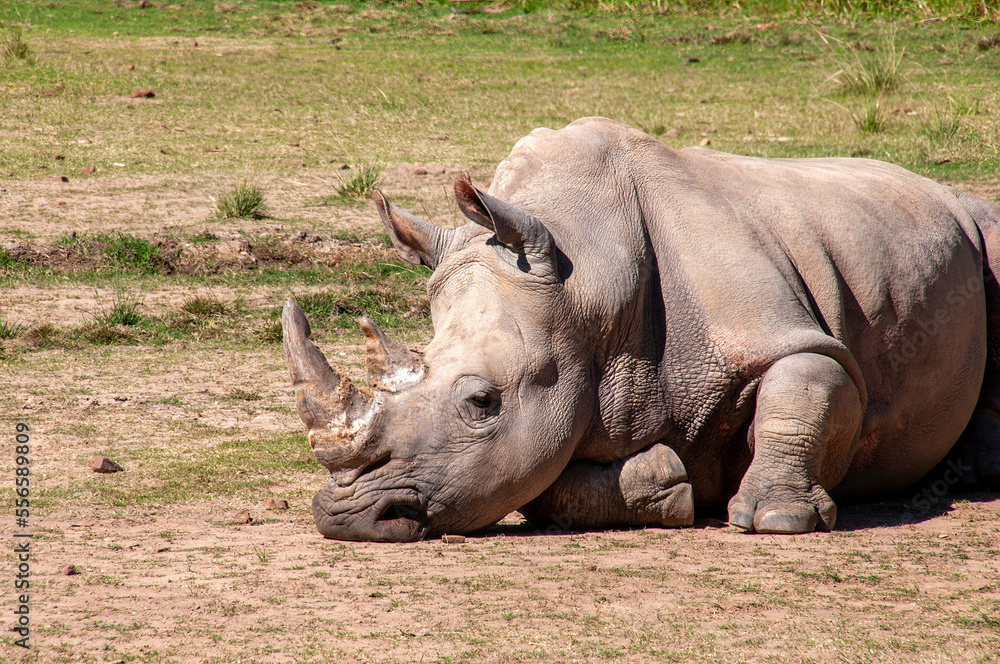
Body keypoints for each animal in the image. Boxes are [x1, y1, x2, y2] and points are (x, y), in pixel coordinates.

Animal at [282, 117, 1000, 542]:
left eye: (482, 402)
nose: (347, 519)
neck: (589, 288)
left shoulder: (792, 336)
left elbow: (804, 385)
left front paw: (778, 517)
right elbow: (542, 484)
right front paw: (669, 483)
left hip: (965, 215)